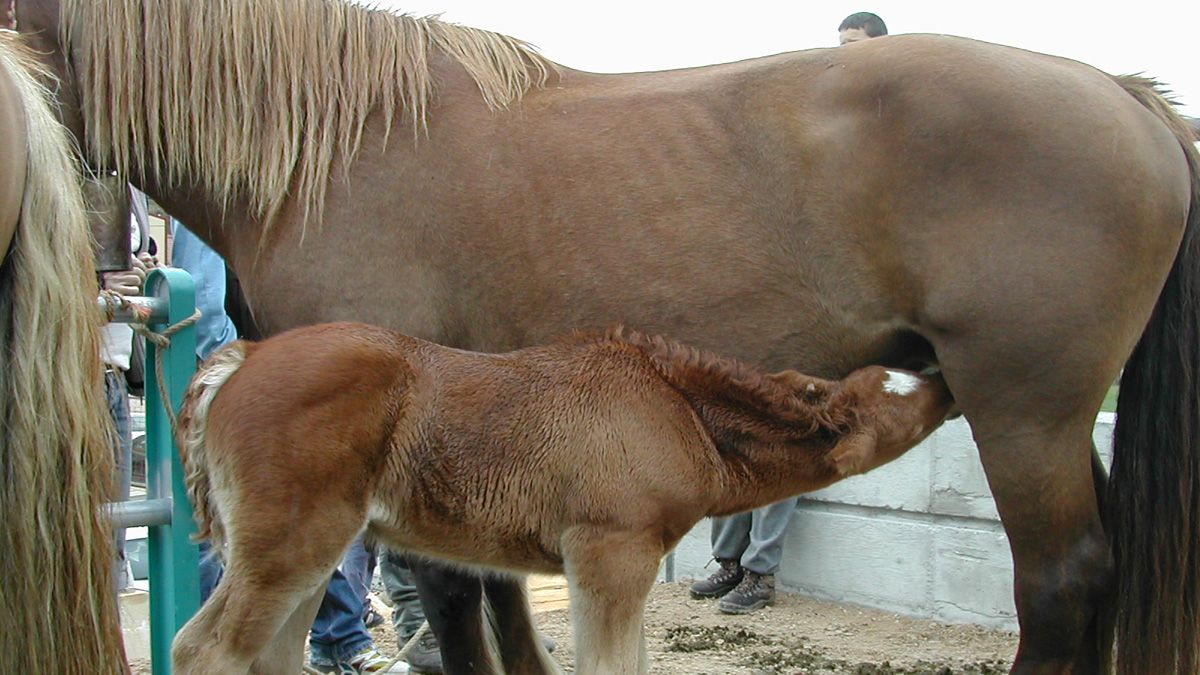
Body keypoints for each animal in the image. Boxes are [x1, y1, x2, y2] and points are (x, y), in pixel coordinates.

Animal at [11, 0, 1200, 667]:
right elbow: (496, 596)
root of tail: (1126, 95)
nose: (113, 271)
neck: (339, 149)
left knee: (1062, 580)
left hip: (1025, 407)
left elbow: (455, 598)